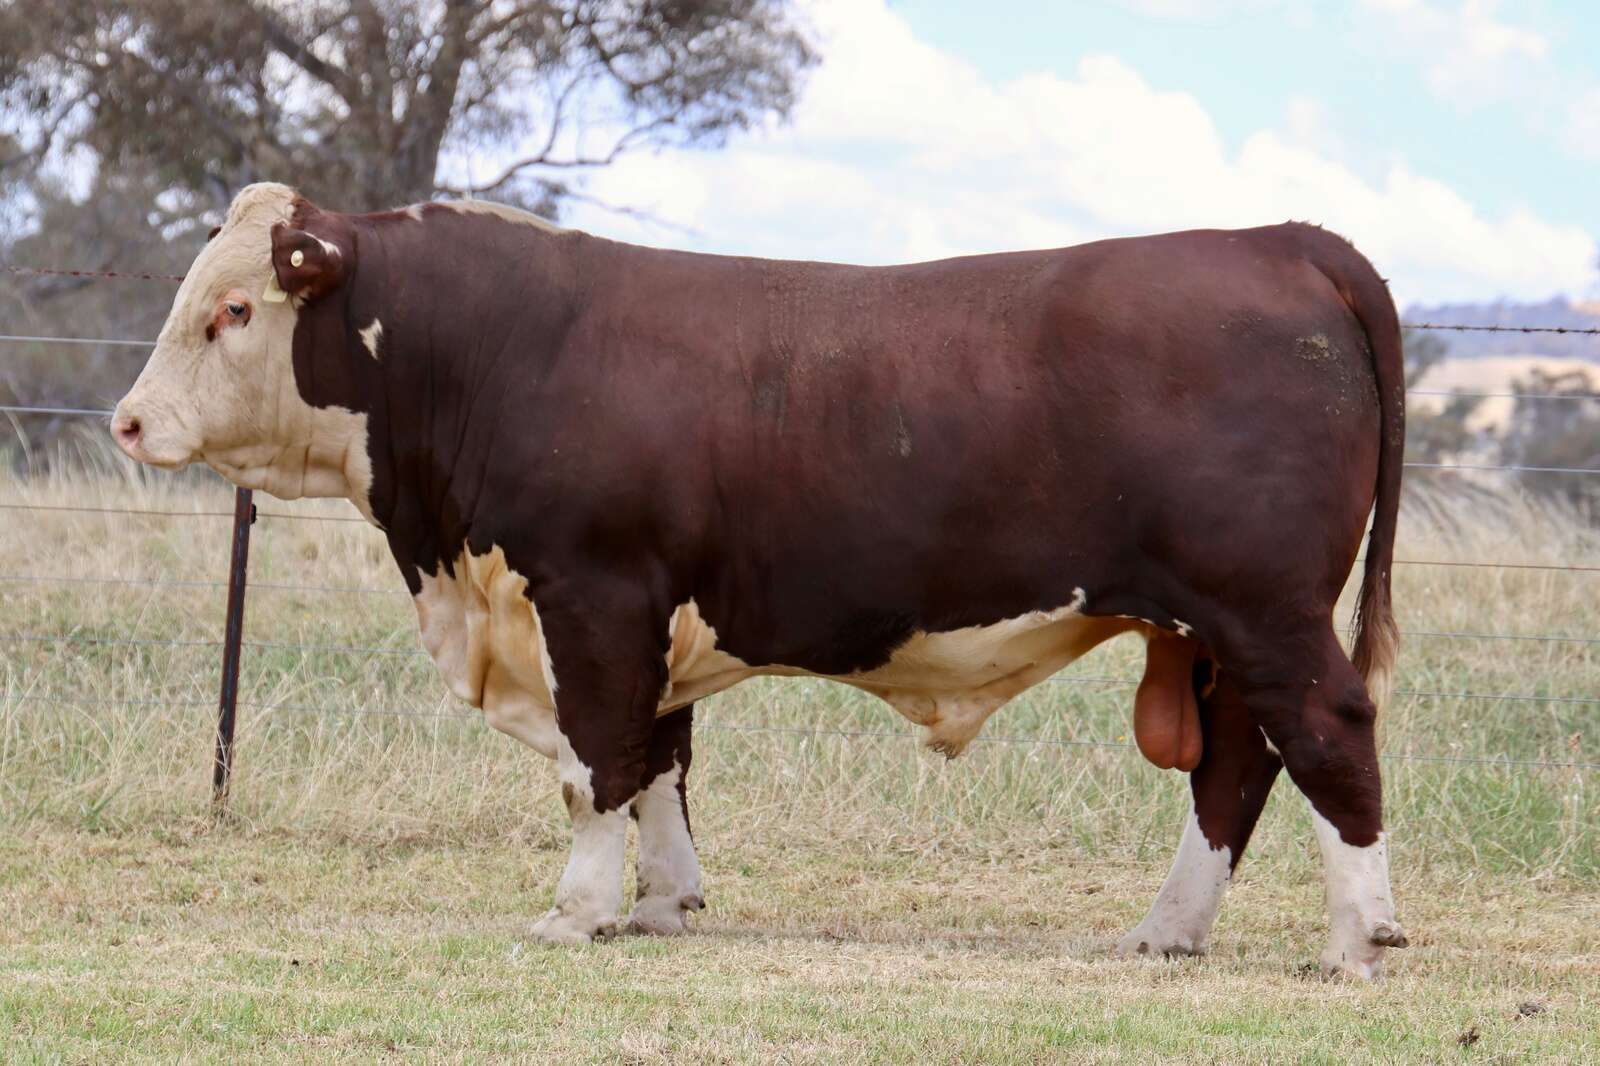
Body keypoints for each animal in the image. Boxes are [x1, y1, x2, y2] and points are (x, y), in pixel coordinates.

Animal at [112, 183, 1407, 978]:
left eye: (235, 309)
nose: (128, 420)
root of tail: (1277, 236)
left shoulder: (590, 598)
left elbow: (594, 767)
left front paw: (575, 911)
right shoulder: (649, 616)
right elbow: (659, 763)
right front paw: (657, 903)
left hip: (1266, 612)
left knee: (1328, 729)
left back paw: (1357, 938)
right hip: (1212, 632)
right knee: (1236, 765)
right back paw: (1166, 931)